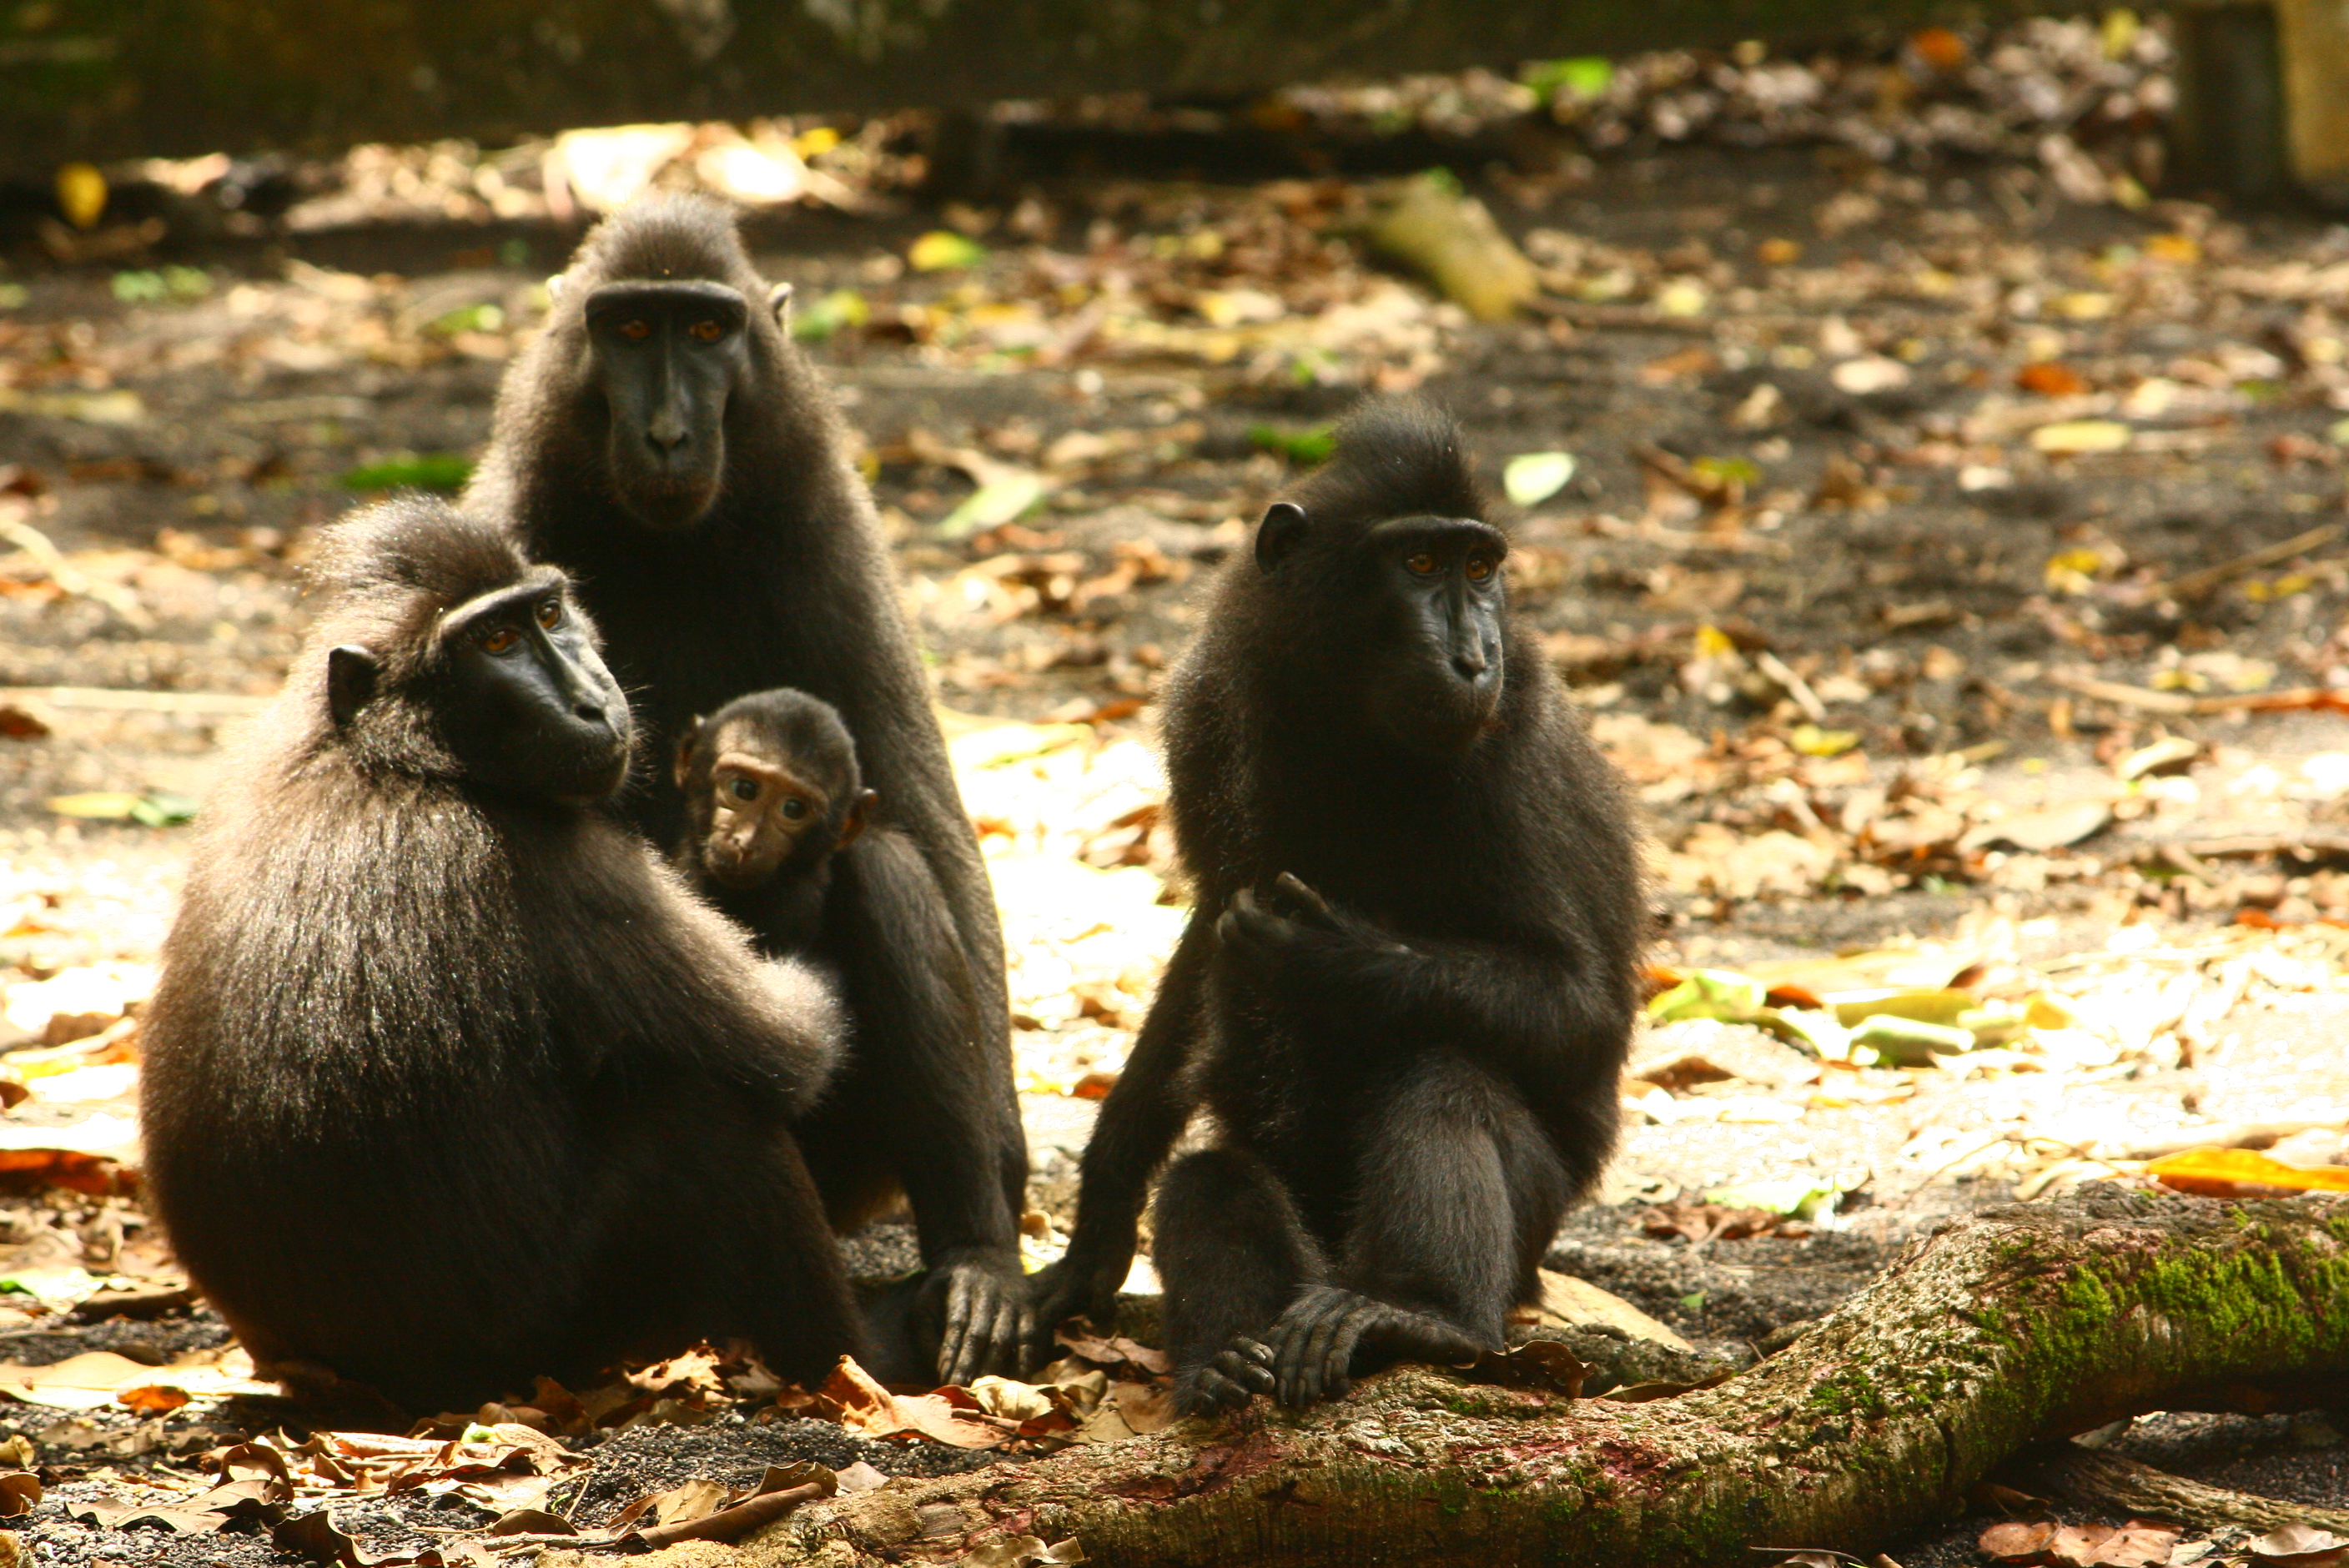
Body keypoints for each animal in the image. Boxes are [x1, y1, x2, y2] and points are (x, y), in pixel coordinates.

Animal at [1028, 400, 1646, 1415]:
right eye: (1422, 564)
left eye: (1482, 568)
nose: (1474, 657)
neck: (1343, 710)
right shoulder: (1209, 702)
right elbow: (1206, 939)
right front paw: (1096, 1225)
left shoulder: (1508, 749)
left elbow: (1581, 1009)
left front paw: (1331, 957)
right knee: (1213, 1174)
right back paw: (1225, 1362)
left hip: (1528, 1227)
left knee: (1442, 1073)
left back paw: (1420, 1313)